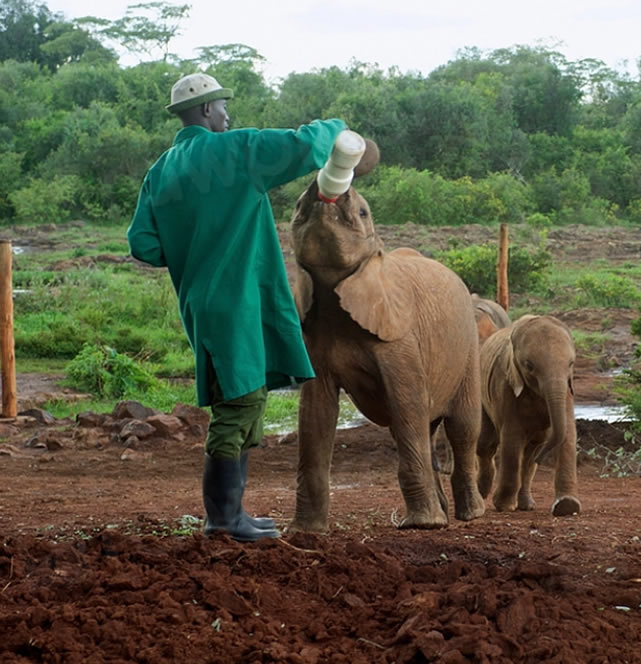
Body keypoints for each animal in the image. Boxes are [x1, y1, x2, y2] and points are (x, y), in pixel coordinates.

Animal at [288, 141, 485, 533]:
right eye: (299, 205)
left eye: (364, 212)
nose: (327, 191)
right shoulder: (314, 337)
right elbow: (315, 411)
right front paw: (304, 533)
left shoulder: (400, 339)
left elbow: (407, 402)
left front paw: (423, 526)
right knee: (423, 427)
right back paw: (443, 514)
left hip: (469, 346)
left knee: (462, 427)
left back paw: (470, 515)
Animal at [476, 314, 581, 517]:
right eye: (529, 366)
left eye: (571, 364)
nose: (542, 457)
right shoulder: (505, 384)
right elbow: (512, 437)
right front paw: (503, 506)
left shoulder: (567, 388)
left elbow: (568, 434)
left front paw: (567, 507)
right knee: (486, 444)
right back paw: (482, 493)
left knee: (530, 454)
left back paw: (526, 505)